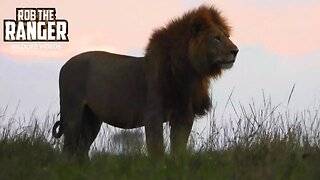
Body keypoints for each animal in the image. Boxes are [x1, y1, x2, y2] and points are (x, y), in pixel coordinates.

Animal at [52, 5, 238, 158]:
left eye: (228, 36)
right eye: (216, 38)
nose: (235, 51)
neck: (191, 73)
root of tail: (65, 64)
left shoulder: (184, 115)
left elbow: (179, 148)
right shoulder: (153, 115)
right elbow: (157, 149)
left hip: (92, 118)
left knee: (81, 149)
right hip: (72, 113)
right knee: (68, 149)